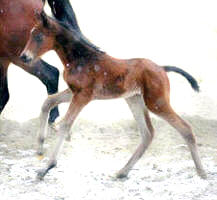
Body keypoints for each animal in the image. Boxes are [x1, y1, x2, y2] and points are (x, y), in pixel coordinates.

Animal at [19, 11, 206, 180]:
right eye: (31, 34)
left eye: (39, 36)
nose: (24, 57)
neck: (81, 59)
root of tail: (162, 68)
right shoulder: (74, 91)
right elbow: (48, 102)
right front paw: (40, 145)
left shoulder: (83, 96)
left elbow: (65, 124)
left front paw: (47, 168)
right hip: (134, 100)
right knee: (148, 134)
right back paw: (122, 172)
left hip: (156, 103)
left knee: (185, 128)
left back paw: (202, 172)